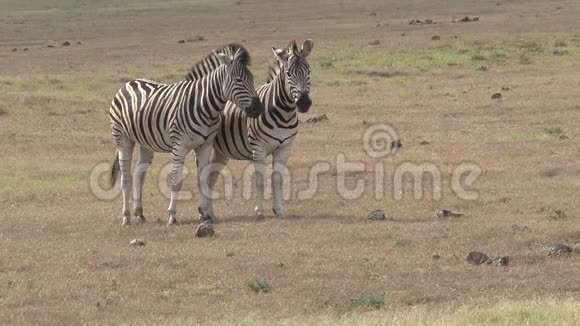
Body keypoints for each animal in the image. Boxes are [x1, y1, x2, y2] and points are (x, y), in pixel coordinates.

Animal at [108, 44, 262, 227]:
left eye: (252, 78)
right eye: (239, 80)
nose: (258, 108)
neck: (204, 106)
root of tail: (129, 83)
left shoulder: (205, 145)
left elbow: (203, 179)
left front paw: (206, 215)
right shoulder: (179, 145)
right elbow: (176, 181)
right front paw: (172, 216)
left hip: (146, 142)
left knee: (139, 173)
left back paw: (139, 213)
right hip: (123, 138)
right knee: (126, 178)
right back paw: (126, 217)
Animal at [206, 39, 314, 220]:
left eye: (309, 71)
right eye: (288, 73)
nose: (304, 103)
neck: (284, 113)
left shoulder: (285, 148)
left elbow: (277, 179)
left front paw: (279, 211)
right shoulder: (259, 148)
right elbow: (260, 180)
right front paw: (259, 212)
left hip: (220, 151)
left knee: (210, 178)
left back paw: (210, 214)